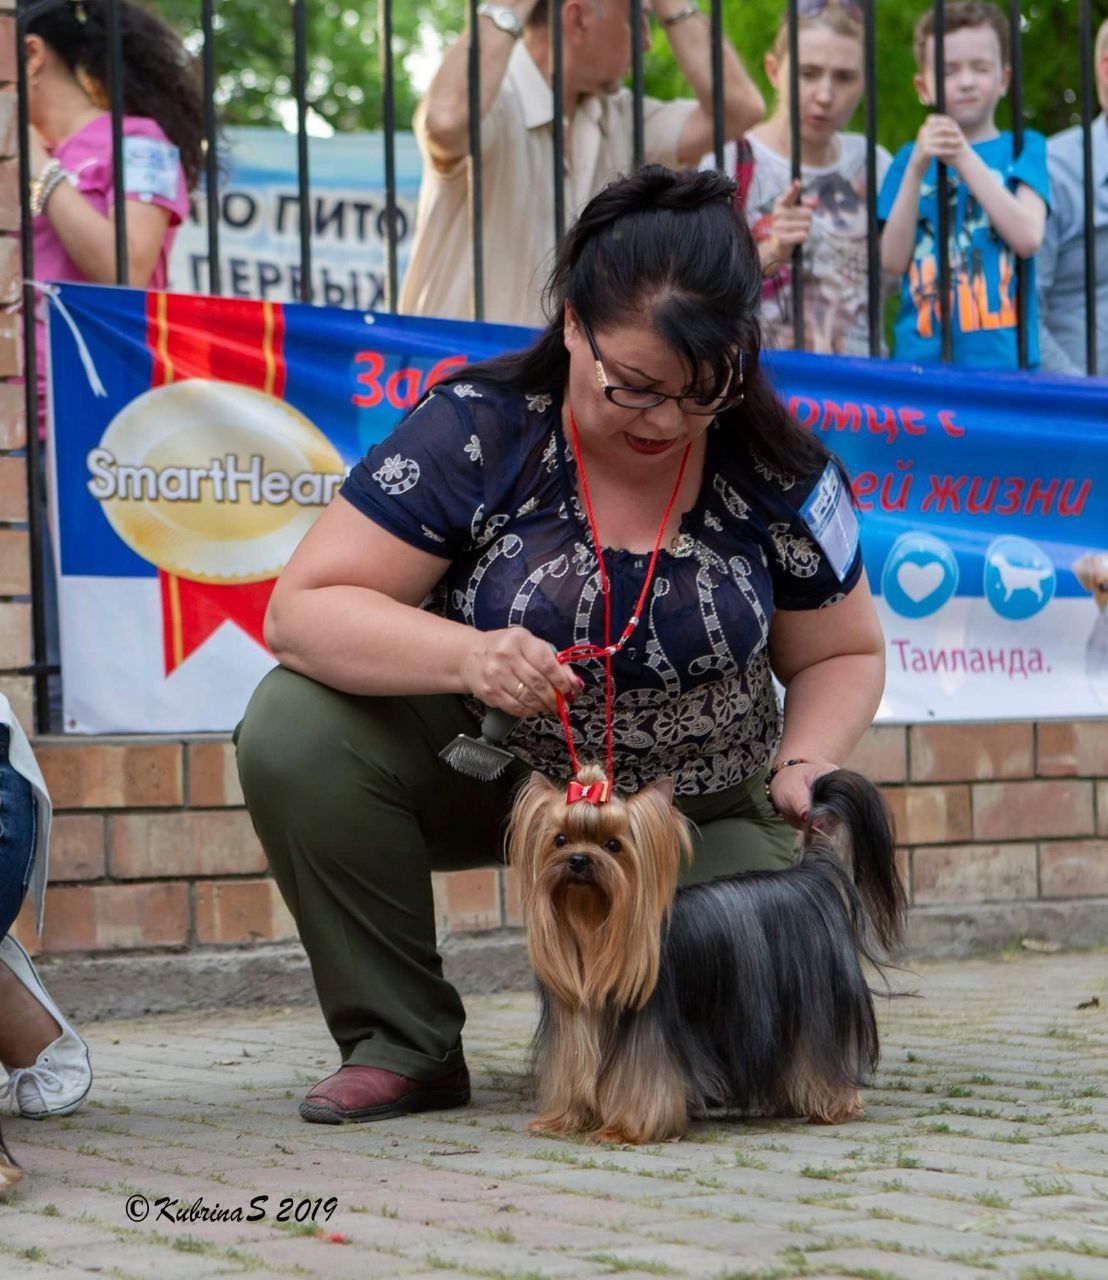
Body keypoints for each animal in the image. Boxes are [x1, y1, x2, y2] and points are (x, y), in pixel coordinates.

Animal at [504, 762, 900, 1146]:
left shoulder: (650, 1031)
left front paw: (625, 1129)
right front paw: (564, 1119)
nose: (578, 860)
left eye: (613, 845)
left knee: (820, 1052)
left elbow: (645, 1080)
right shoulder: (577, 1022)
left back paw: (832, 1105)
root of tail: (812, 873)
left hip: (817, 1004)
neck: (591, 927)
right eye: (560, 839)